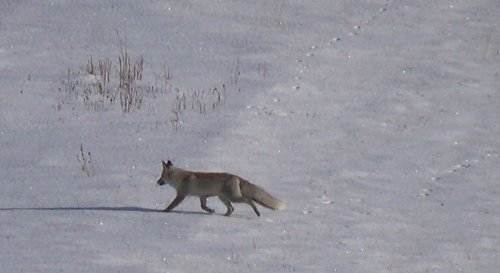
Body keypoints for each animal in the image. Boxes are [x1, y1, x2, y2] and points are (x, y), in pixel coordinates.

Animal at [158, 159, 288, 215]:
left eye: (161, 176)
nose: (157, 182)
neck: (180, 178)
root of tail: (237, 177)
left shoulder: (181, 195)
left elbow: (172, 205)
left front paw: (164, 211)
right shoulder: (202, 196)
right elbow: (203, 207)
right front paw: (211, 211)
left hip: (233, 198)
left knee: (249, 200)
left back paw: (257, 212)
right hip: (223, 198)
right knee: (232, 209)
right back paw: (225, 215)